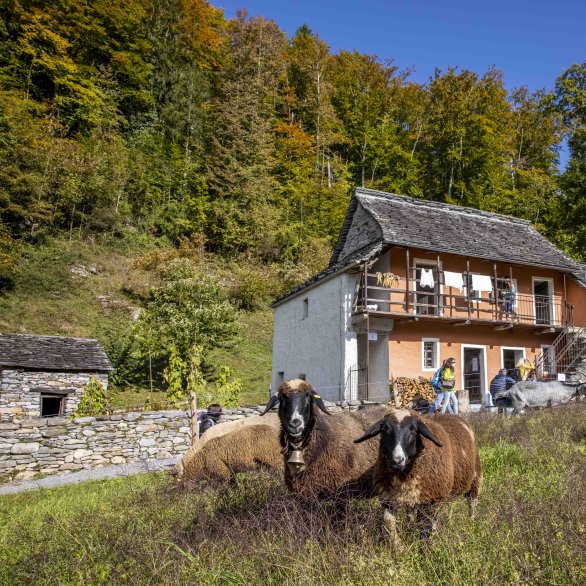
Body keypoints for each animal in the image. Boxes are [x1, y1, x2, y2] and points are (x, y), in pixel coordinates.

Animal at [354, 406, 482, 548]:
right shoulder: (388, 498)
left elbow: (426, 527)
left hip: (475, 477)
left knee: (472, 502)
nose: (397, 460)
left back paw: (471, 523)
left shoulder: (431, 499)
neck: (403, 474)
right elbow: (389, 522)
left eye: (414, 430)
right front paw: (399, 547)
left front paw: (426, 549)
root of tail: (452, 415)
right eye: (385, 430)